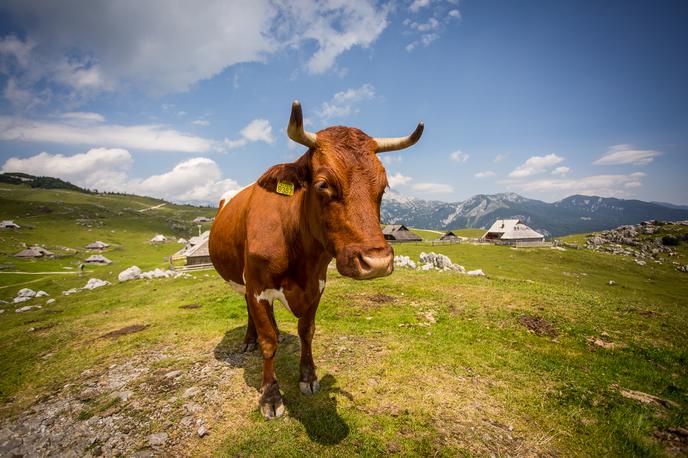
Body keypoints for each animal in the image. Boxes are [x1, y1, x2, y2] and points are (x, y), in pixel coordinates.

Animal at [208, 102, 424, 420]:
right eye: (323, 184)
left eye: (383, 187)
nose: (377, 262)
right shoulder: (257, 286)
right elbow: (268, 342)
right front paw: (270, 395)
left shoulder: (317, 285)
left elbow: (306, 332)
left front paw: (308, 377)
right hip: (244, 281)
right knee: (250, 311)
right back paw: (248, 340)